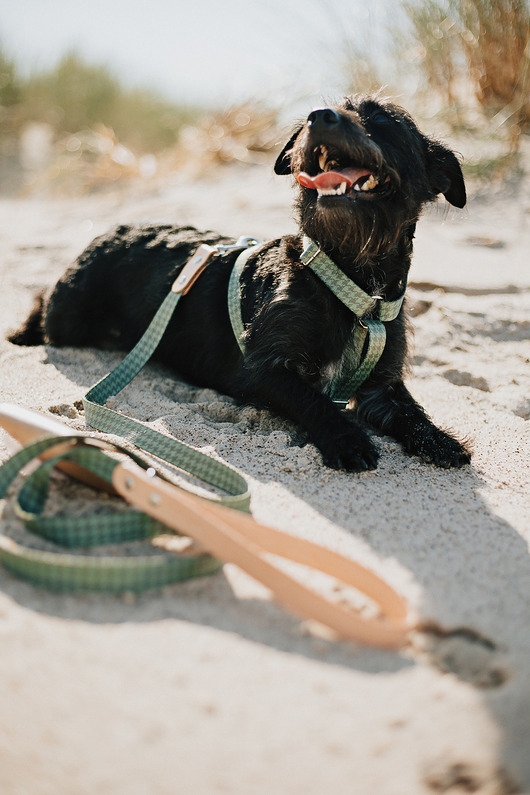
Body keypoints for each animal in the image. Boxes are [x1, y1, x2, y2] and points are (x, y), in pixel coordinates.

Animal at [10, 98, 468, 472]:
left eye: (383, 119)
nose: (317, 117)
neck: (350, 282)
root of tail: (108, 231)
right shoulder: (262, 369)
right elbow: (314, 400)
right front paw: (347, 439)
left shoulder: (381, 385)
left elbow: (411, 411)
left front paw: (438, 440)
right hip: (68, 319)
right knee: (42, 304)